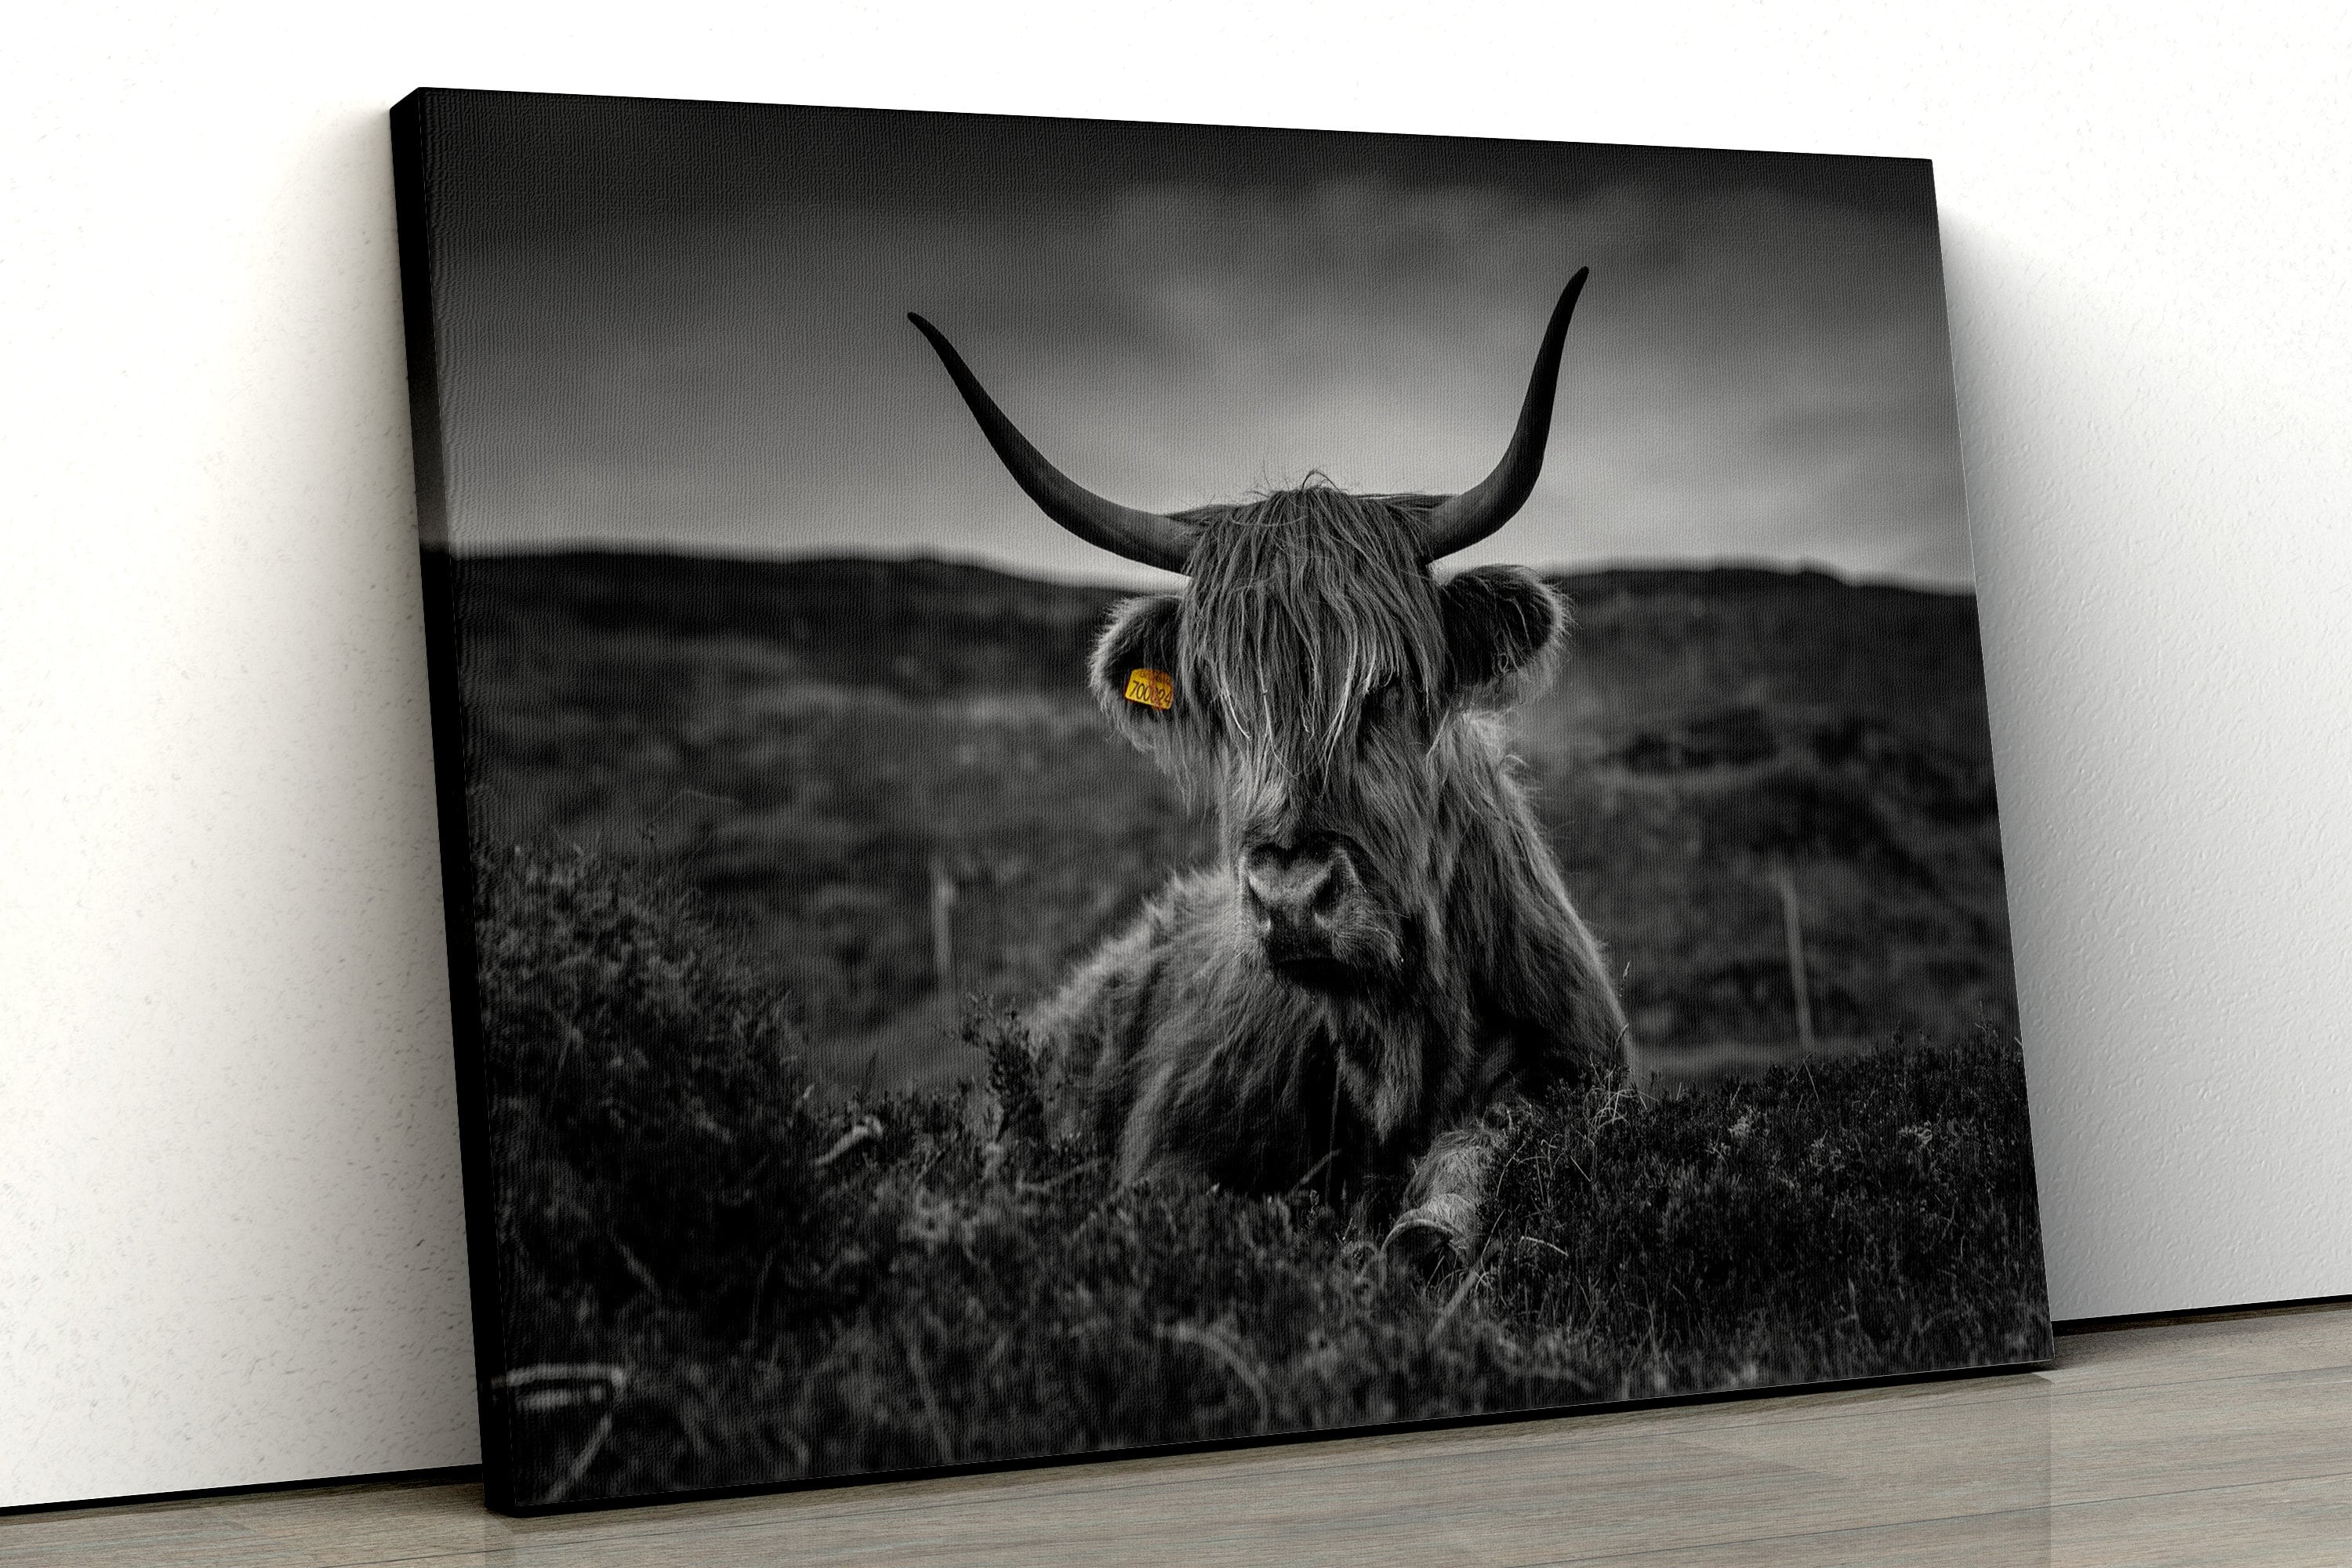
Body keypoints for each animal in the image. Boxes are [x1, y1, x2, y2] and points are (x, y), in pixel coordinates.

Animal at [908, 269, 1629, 1269]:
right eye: (1219, 698)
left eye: (1388, 684)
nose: (1291, 895)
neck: (1392, 1040)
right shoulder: (1168, 1162)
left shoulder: (1576, 1074)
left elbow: (1484, 1148)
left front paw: (1425, 1227)